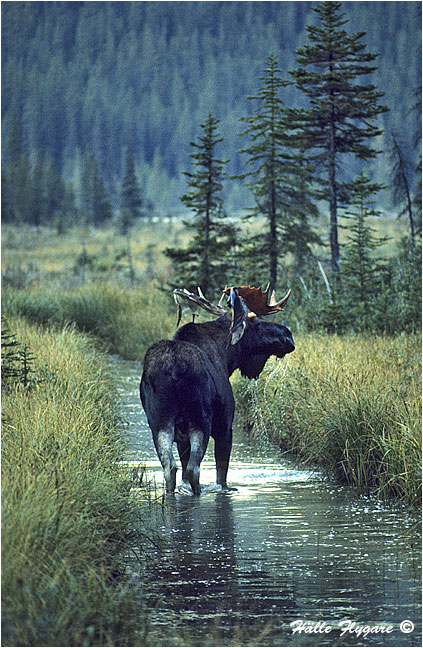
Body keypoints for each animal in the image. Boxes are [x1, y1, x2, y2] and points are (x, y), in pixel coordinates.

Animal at [140, 285, 295, 495]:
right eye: (257, 323)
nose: (288, 336)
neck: (228, 357)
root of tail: (174, 367)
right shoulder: (225, 426)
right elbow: (222, 475)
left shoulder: (180, 437)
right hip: (200, 420)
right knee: (193, 469)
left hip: (159, 422)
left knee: (171, 467)